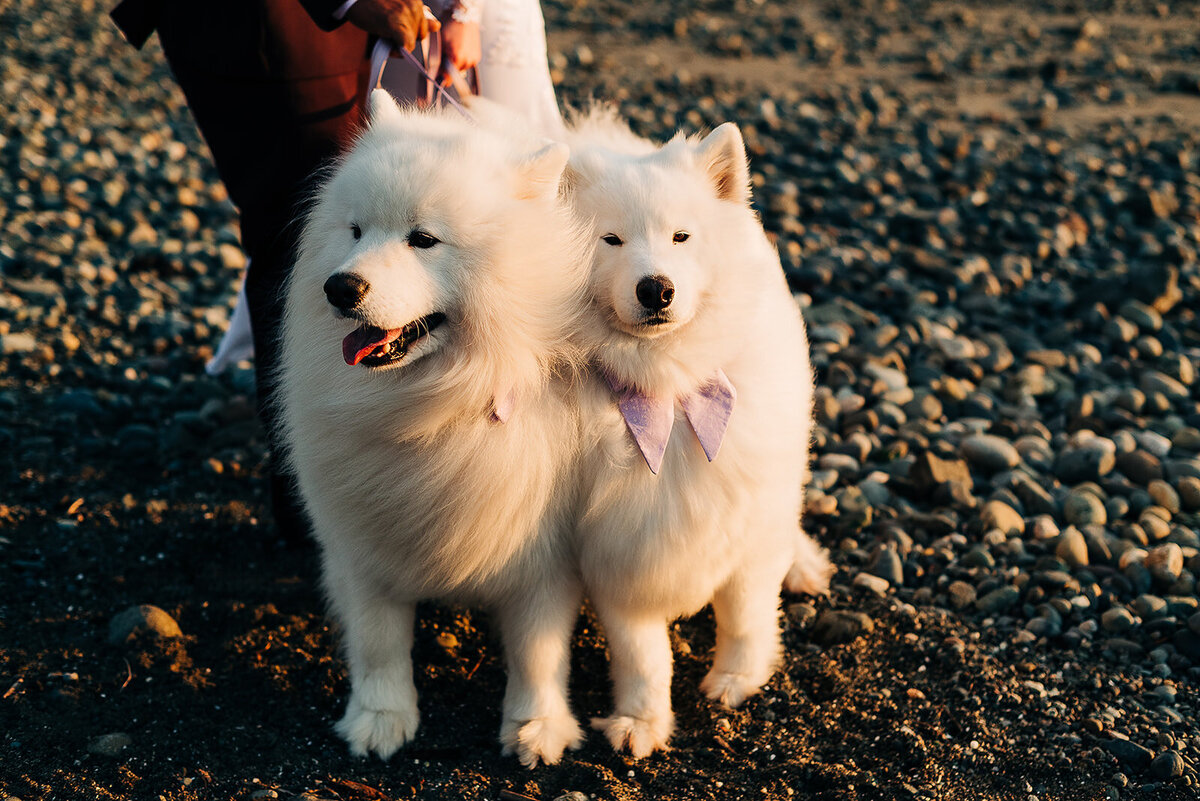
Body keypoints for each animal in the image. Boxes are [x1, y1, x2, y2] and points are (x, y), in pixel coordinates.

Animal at [273, 90, 590, 767]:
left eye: (423, 240)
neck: (433, 408)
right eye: (356, 231)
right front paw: (380, 719)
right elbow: (378, 641)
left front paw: (536, 727)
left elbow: (537, 650)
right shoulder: (362, 540)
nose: (339, 287)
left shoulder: (547, 552)